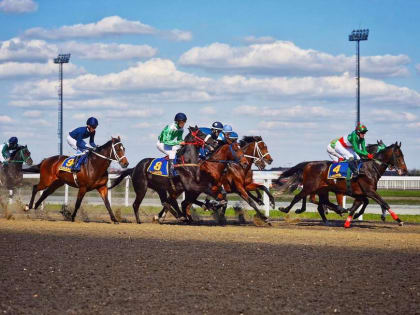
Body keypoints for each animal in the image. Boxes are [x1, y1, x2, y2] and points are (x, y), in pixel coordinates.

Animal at [278, 143, 408, 227]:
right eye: (398, 156)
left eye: (403, 155)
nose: (405, 171)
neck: (369, 168)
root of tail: (308, 164)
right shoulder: (369, 191)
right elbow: (383, 203)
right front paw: (399, 220)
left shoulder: (361, 193)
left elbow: (360, 204)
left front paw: (350, 219)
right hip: (310, 186)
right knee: (298, 197)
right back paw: (285, 209)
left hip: (322, 189)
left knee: (322, 203)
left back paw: (332, 215)